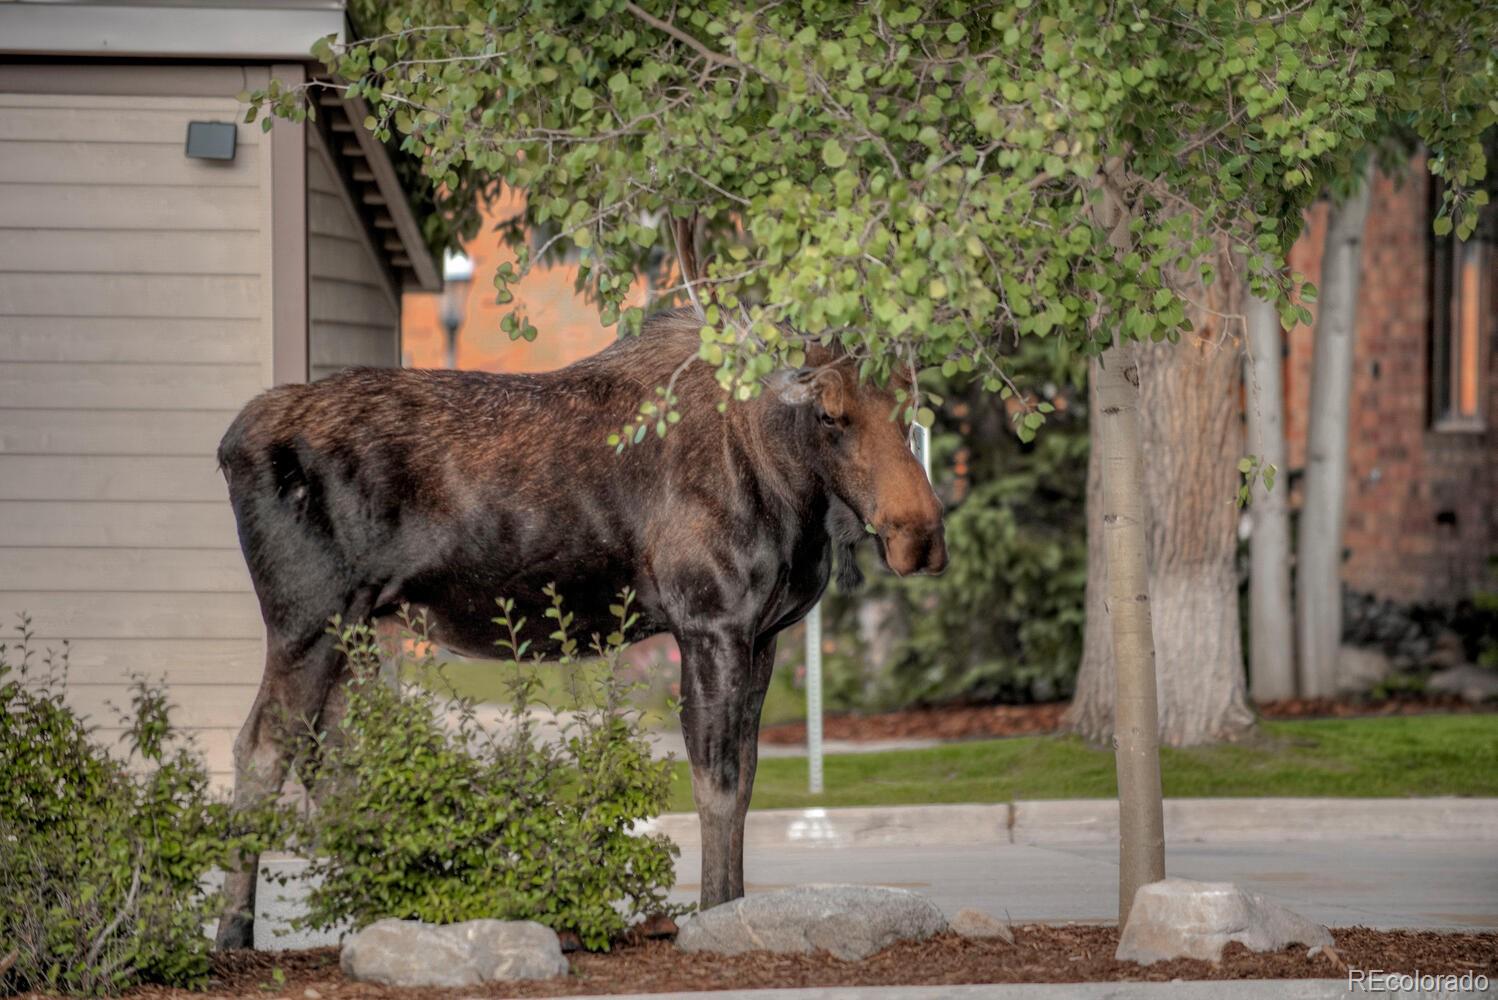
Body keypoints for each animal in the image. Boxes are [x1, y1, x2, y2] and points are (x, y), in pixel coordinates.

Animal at [214, 308, 934, 952]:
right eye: (829, 415)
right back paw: (234, 935)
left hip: (354, 625)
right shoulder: (711, 622)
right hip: (308, 617)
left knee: (328, 756)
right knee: (262, 749)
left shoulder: (764, 634)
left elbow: (747, 779)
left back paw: (381, 911)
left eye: (910, 404)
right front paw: (713, 915)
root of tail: (229, 445)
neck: (794, 494)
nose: (920, 534)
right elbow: (718, 782)